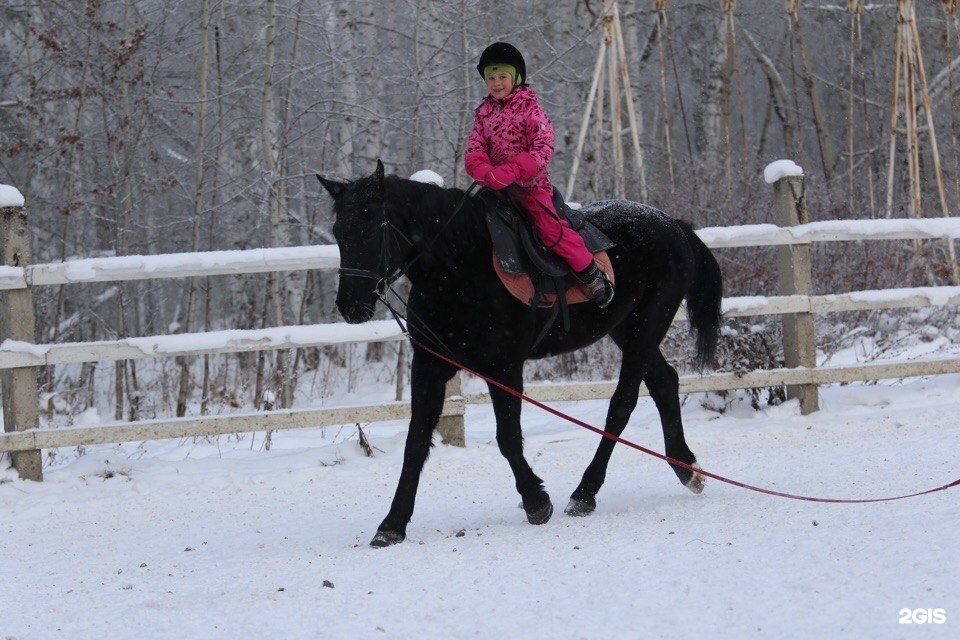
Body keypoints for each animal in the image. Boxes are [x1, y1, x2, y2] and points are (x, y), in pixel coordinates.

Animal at [318, 160, 724, 544]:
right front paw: (392, 524)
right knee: (665, 383)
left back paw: (586, 492)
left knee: (622, 404)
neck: (460, 269)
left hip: (646, 327)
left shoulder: (503, 368)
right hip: (628, 330)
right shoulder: (430, 366)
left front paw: (535, 500)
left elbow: (508, 438)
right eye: (339, 232)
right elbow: (415, 442)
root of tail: (674, 225)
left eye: (372, 227)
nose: (349, 305)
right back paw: (686, 468)